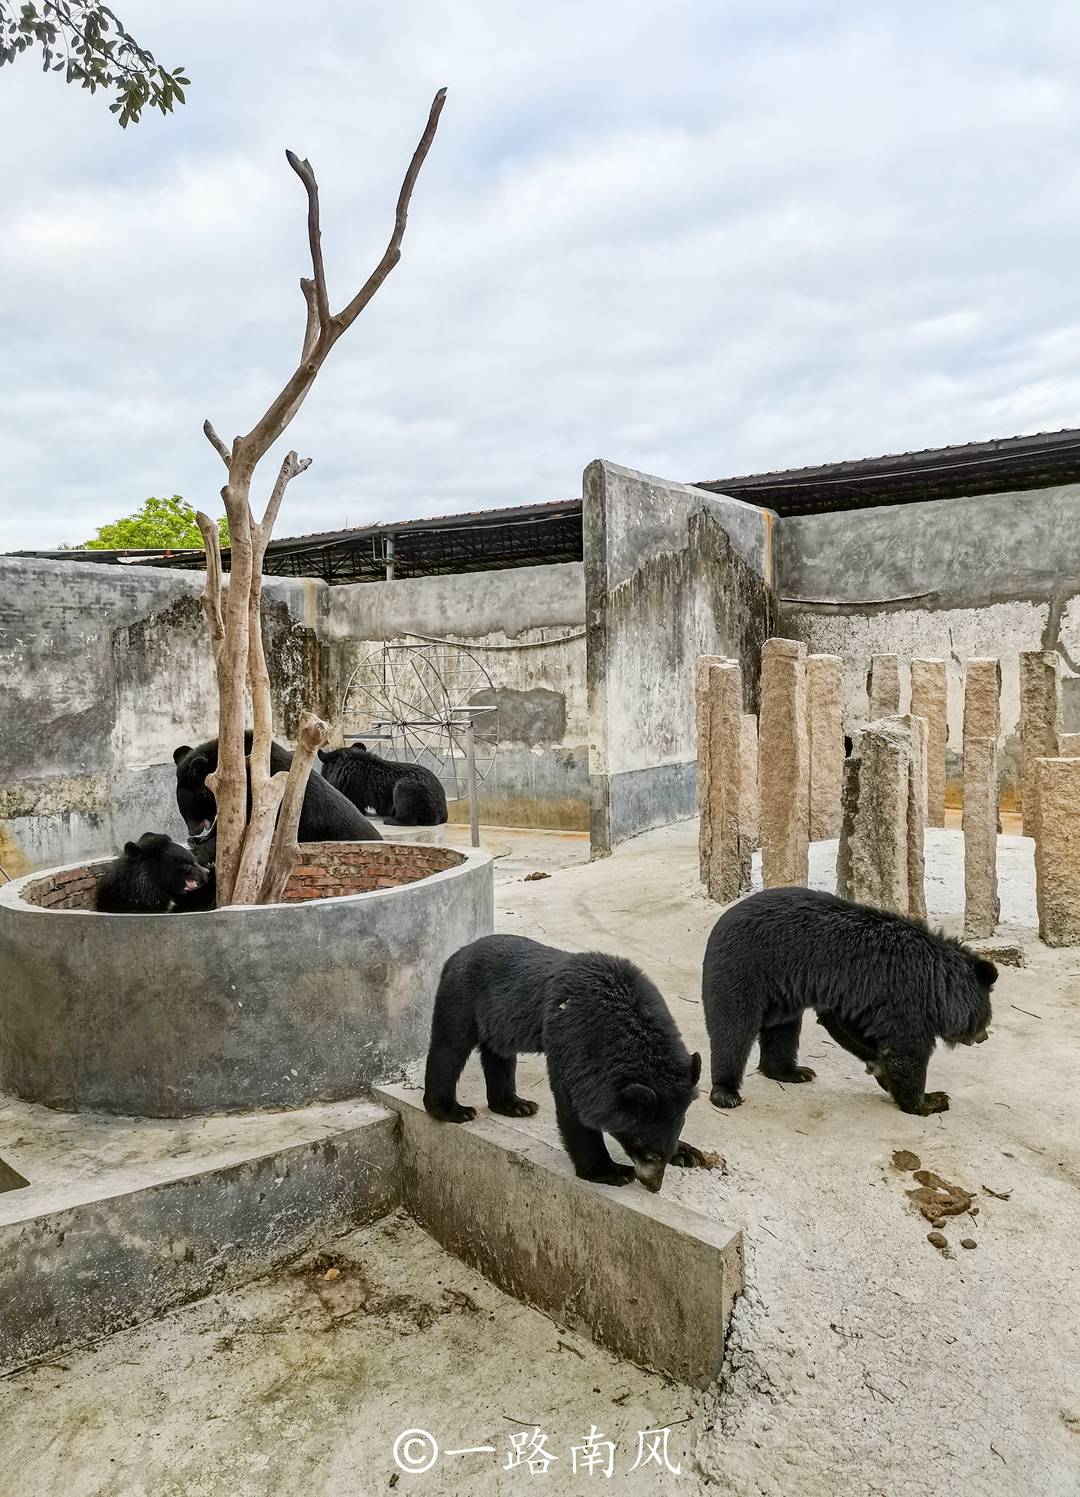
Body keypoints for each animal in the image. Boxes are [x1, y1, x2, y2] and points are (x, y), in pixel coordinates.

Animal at [422, 934, 707, 1191]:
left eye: (663, 1153)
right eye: (647, 1151)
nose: (653, 1185)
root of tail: (457, 954)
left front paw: (688, 1153)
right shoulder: (575, 1038)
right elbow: (573, 1103)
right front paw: (612, 1172)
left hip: (499, 1019)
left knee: (499, 1055)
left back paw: (516, 1105)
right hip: (462, 997)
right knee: (449, 1048)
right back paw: (453, 1110)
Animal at [698, 880, 994, 1119]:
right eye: (985, 1018)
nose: (984, 1037)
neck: (936, 982)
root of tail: (718, 926)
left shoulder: (858, 994)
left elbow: (847, 1024)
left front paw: (880, 1069)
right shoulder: (900, 994)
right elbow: (906, 1049)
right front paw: (929, 1100)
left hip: (782, 993)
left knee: (783, 1030)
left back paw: (793, 1072)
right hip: (744, 969)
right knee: (734, 1029)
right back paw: (726, 1092)